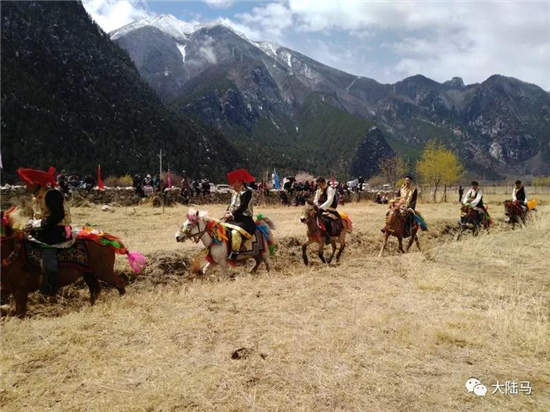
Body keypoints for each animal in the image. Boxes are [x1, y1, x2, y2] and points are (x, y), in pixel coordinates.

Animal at [1, 210, 144, 317]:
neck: (13, 252)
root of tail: (106, 238)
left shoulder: (20, 291)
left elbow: (20, 313)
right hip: (89, 273)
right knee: (95, 290)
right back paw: (91, 306)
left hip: (103, 271)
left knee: (118, 282)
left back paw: (122, 299)